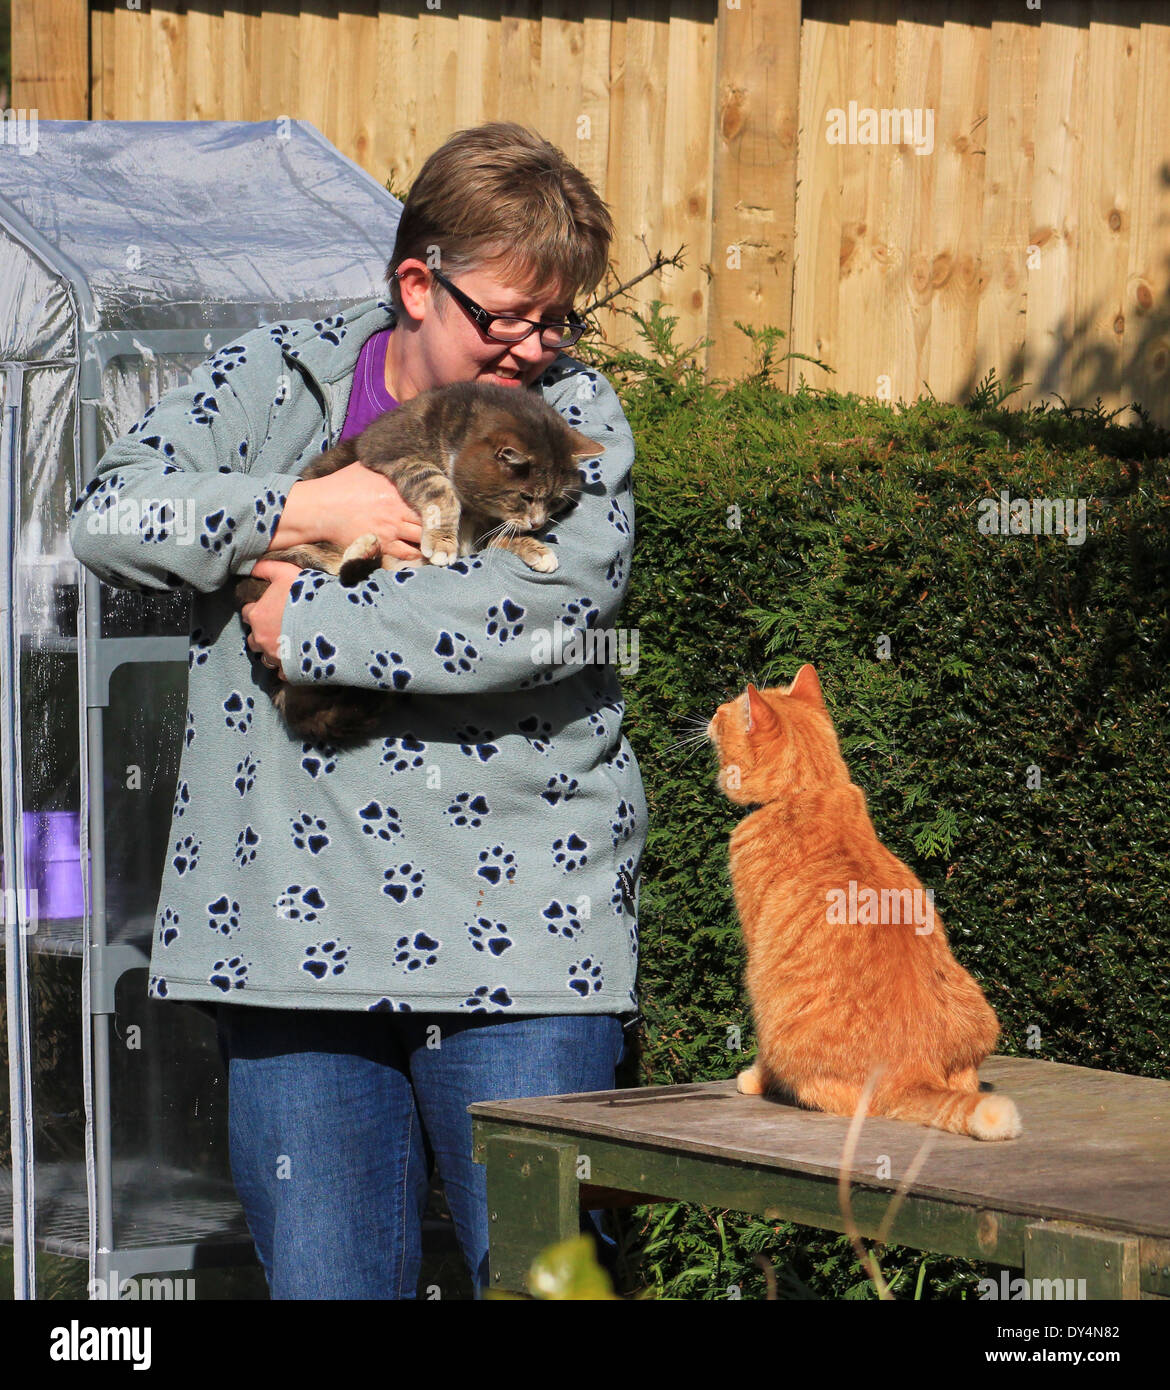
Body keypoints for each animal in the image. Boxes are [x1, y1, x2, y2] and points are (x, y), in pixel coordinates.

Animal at [233, 378, 605, 750]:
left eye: (555, 500)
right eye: (525, 496)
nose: (537, 523)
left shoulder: (483, 526)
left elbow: (498, 536)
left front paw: (537, 550)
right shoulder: (389, 447)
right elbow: (438, 485)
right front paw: (442, 541)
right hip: (291, 554)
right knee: (340, 570)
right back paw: (366, 550)